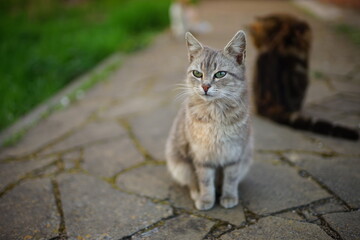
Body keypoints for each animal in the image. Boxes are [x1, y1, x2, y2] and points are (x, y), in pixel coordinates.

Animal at [165, 30, 252, 210]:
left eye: (220, 74)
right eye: (197, 73)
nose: (205, 86)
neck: (215, 113)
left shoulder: (234, 153)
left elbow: (231, 179)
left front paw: (229, 196)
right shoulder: (201, 156)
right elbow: (205, 181)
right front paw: (206, 199)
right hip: (179, 165)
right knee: (191, 182)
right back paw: (197, 194)